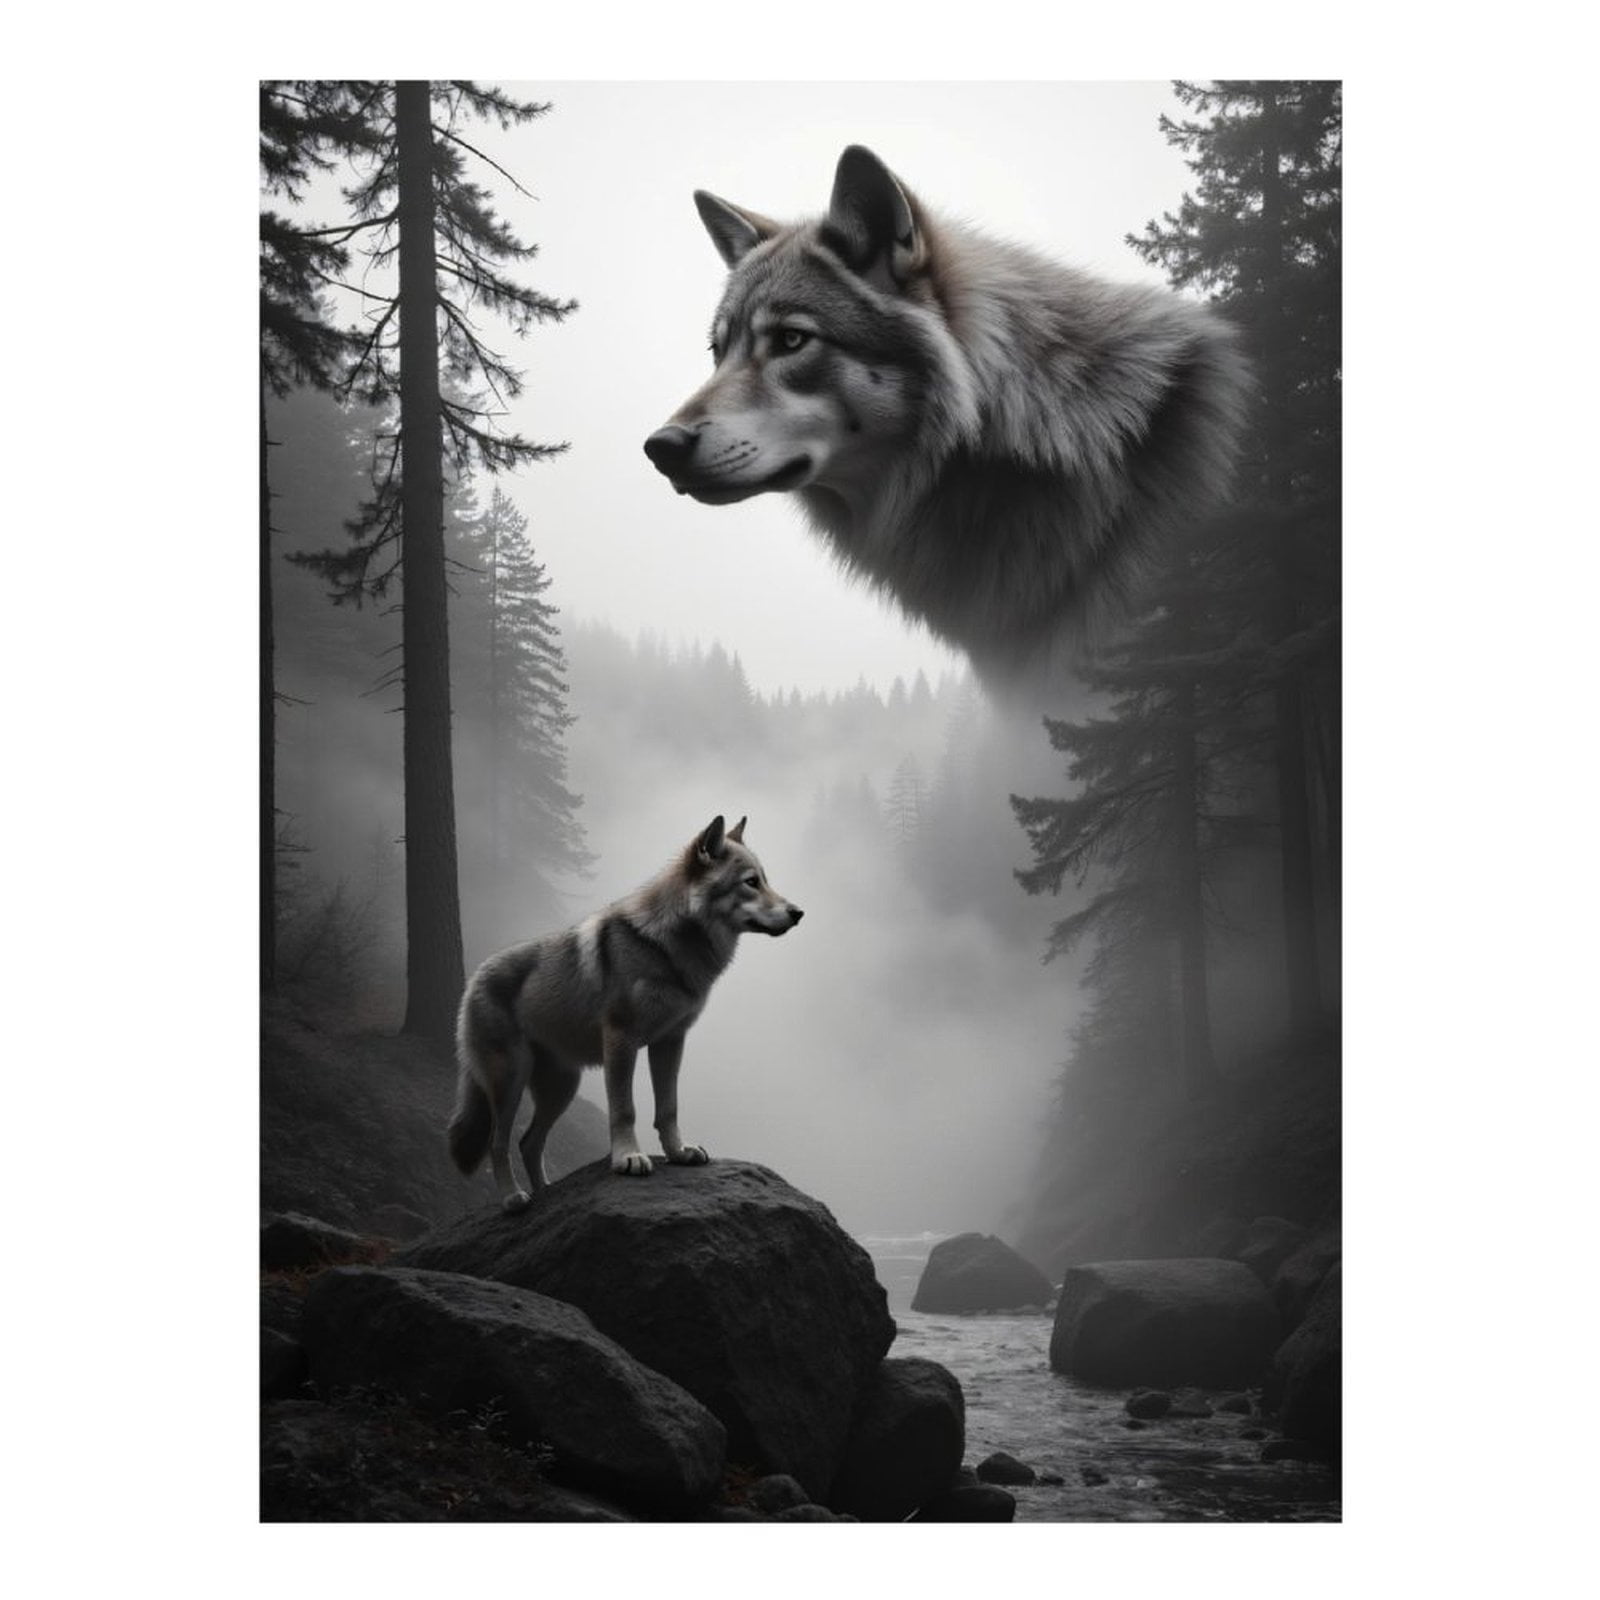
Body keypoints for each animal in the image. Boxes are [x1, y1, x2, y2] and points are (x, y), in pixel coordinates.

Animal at [448, 815, 803, 1212]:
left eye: (765, 879)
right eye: (751, 882)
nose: (798, 913)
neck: (669, 946)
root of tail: (473, 979)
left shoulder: (670, 1042)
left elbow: (668, 1108)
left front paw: (678, 1152)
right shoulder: (622, 1039)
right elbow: (625, 1109)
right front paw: (628, 1158)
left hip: (561, 1088)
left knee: (529, 1142)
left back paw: (547, 1194)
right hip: (510, 1082)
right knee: (498, 1143)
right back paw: (513, 1199)